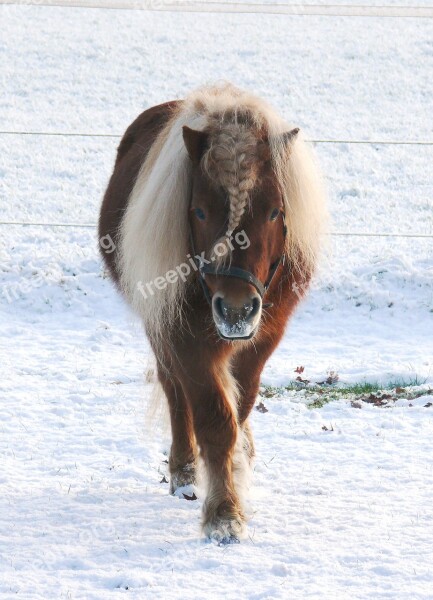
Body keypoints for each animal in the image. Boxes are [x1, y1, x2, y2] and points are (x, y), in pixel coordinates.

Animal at [98, 84, 328, 544]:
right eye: (200, 211)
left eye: (275, 211)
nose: (236, 309)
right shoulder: (181, 337)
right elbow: (214, 419)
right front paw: (223, 514)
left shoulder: (263, 338)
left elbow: (240, 408)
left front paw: (236, 476)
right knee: (174, 391)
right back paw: (184, 471)